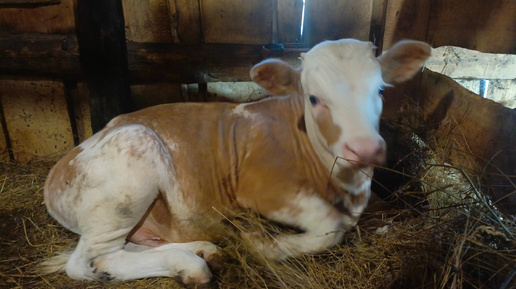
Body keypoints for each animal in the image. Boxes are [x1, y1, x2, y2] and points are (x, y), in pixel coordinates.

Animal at [40, 38, 430, 284]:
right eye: (314, 97)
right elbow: (330, 228)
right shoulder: (262, 188)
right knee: (92, 260)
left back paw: (203, 251)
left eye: (380, 89)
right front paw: (264, 244)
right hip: (127, 174)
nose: (365, 148)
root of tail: (58, 170)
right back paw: (190, 267)